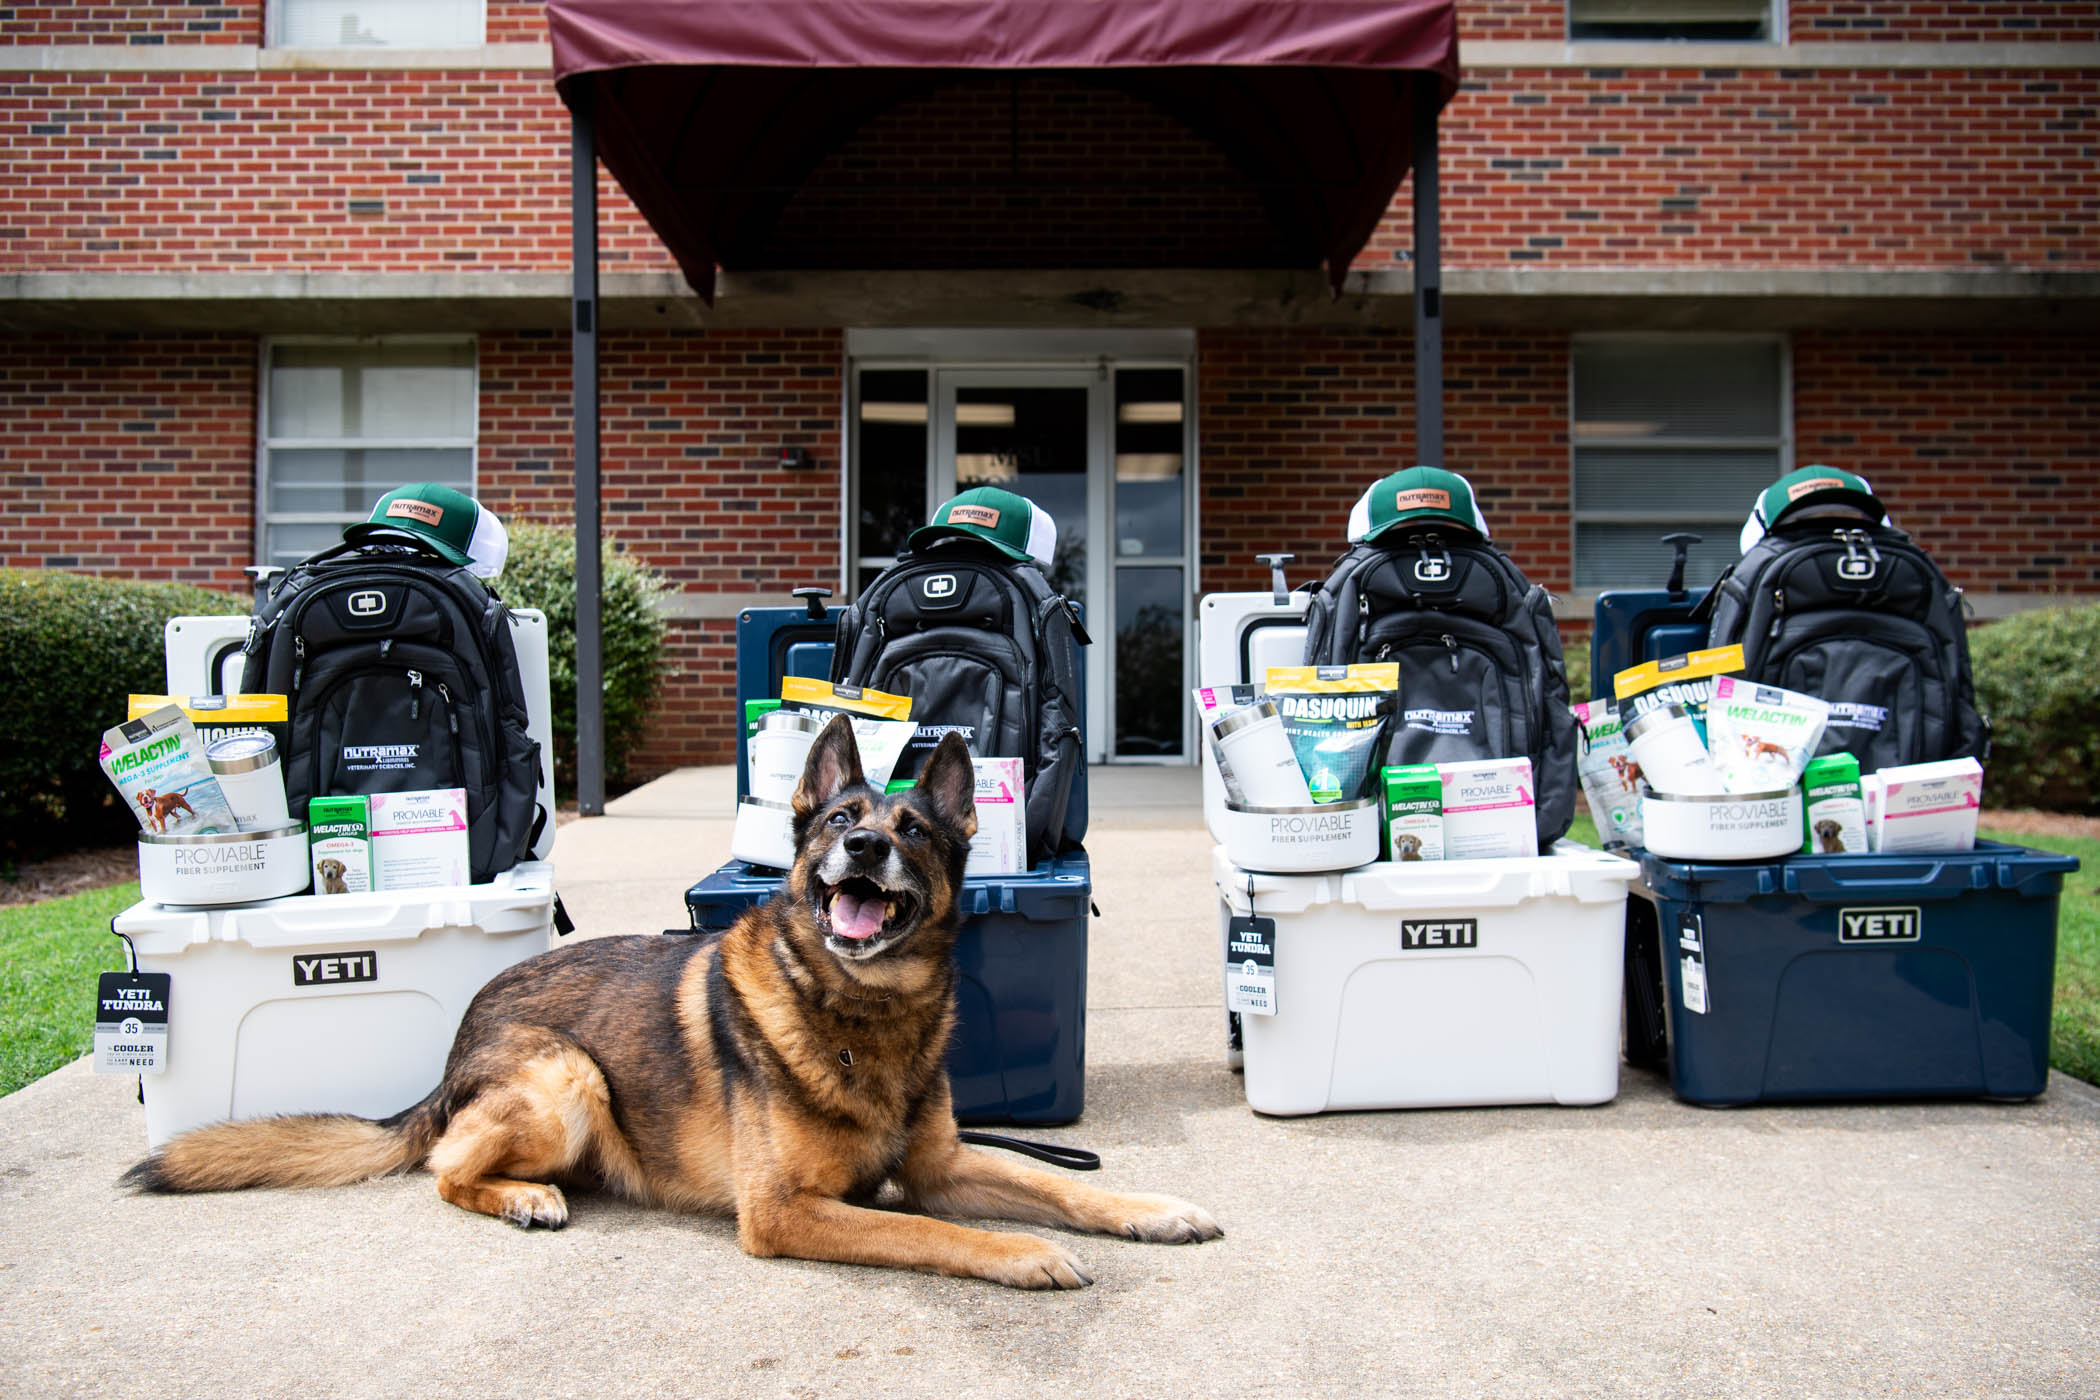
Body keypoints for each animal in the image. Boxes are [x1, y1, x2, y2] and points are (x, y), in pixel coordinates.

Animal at [122, 722, 1226, 1292]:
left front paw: (1151, 1210)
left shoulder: (942, 1167)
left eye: (913, 829)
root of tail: (456, 1047)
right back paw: (522, 1194)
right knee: (443, 1167)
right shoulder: (787, 1212)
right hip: (566, 1075)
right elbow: (941, 1236)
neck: (860, 1017)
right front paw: (1025, 1252)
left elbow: (1058, 1185)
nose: (863, 848)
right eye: (840, 816)